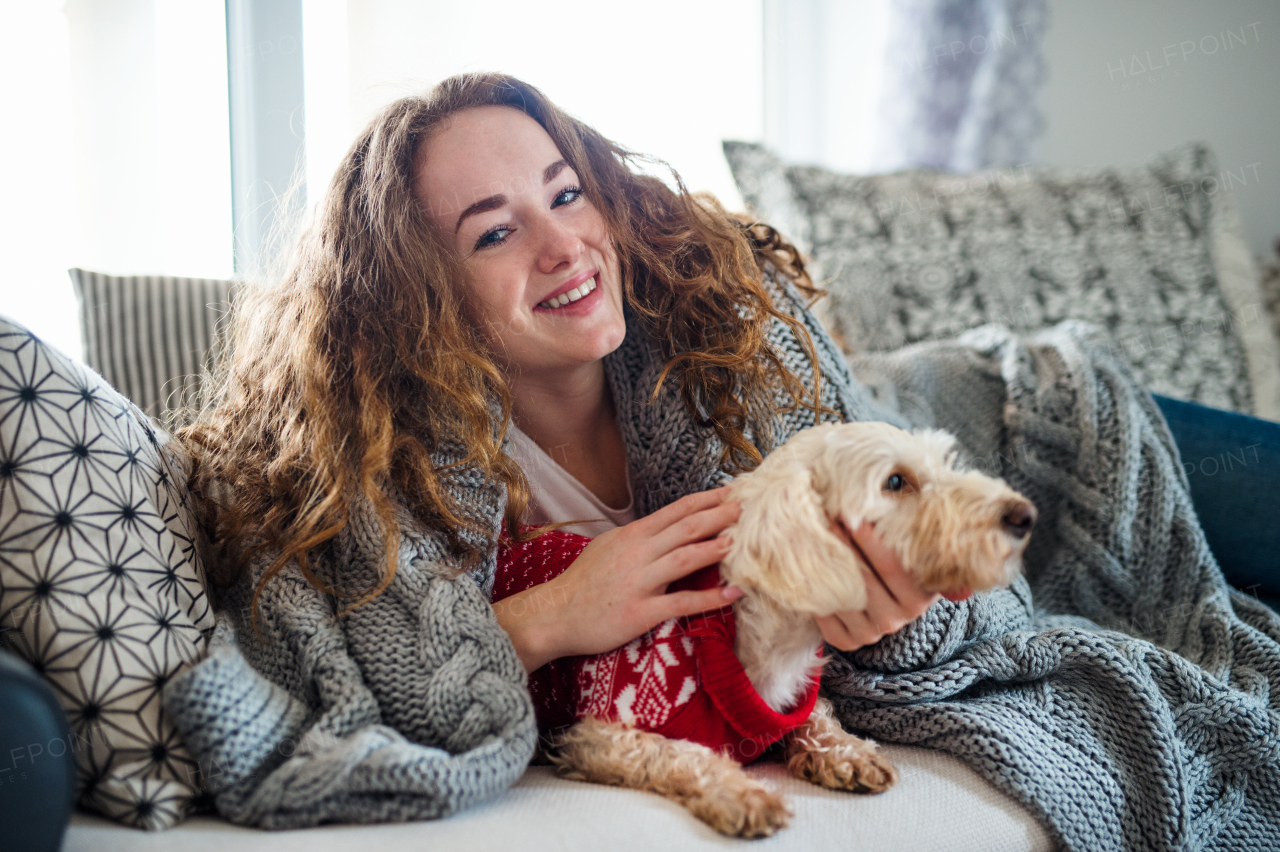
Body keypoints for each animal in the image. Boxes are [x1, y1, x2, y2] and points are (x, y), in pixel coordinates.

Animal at [545, 422, 1034, 834]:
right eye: (895, 482)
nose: (1025, 515)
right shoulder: (595, 737)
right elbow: (679, 753)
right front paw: (742, 794)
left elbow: (815, 716)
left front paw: (844, 752)